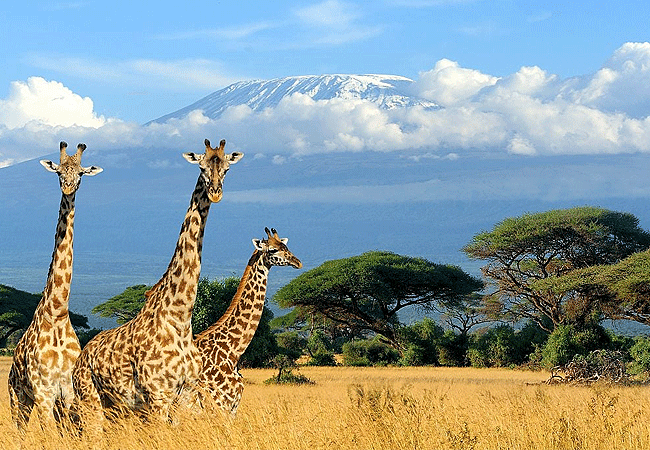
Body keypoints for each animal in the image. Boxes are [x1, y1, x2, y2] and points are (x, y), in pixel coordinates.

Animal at [7, 142, 102, 430]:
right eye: (59, 172)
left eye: (81, 173)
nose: (68, 188)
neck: (58, 312)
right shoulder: (43, 392)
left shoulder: (68, 392)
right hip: (18, 397)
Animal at [71, 138, 243, 426]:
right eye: (201, 167)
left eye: (227, 169)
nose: (216, 192)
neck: (180, 317)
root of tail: (82, 355)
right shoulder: (158, 396)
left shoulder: (187, 396)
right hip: (90, 400)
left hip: (117, 408)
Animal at [190, 229, 302, 414]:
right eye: (273, 250)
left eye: (285, 246)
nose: (297, 262)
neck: (233, 352)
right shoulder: (221, 404)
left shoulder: (231, 407)